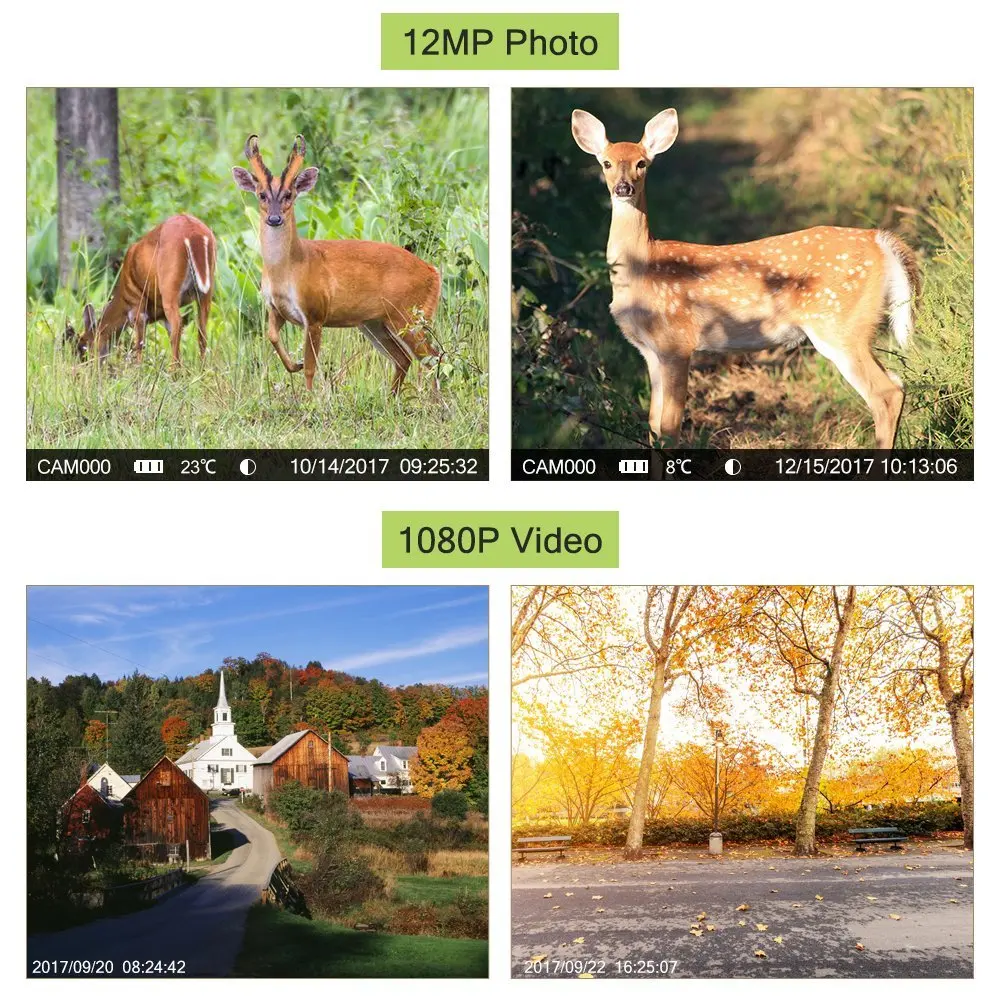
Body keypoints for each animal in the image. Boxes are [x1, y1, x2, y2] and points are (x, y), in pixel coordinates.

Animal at [65, 214, 216, 365]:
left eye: (82, 347)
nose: (83, 366)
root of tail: (194, 233)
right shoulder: (161, 316)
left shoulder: (137, 308)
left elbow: (139, 345)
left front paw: (137, 367)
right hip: (206, 291)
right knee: (202, 331)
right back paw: (201, 366)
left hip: (170, 287)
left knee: (179, 324)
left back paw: (174, 368)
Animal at [231, 135, 440, 393]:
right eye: (261, 194)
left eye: (289, 194)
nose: (274, 218)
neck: (289, 268)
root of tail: (433, 272)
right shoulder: (275, 308)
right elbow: (272, 336)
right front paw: (295, 365)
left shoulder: (315, 312)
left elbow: (311, 367)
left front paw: (310, 396)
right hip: (374, 323)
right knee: (404, 358)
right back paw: (392, 398)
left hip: (409, 314)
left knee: (433, 356)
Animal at [571, 108, 921, 449]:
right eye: (606, 163)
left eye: (642, 163)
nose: (623, 188)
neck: (643, 266)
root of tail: (881, 241)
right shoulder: (650, 351)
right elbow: (654, 427)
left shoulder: (677, 342)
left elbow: (669, 429)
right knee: (896, 384)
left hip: (839, 324)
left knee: (886, 393)